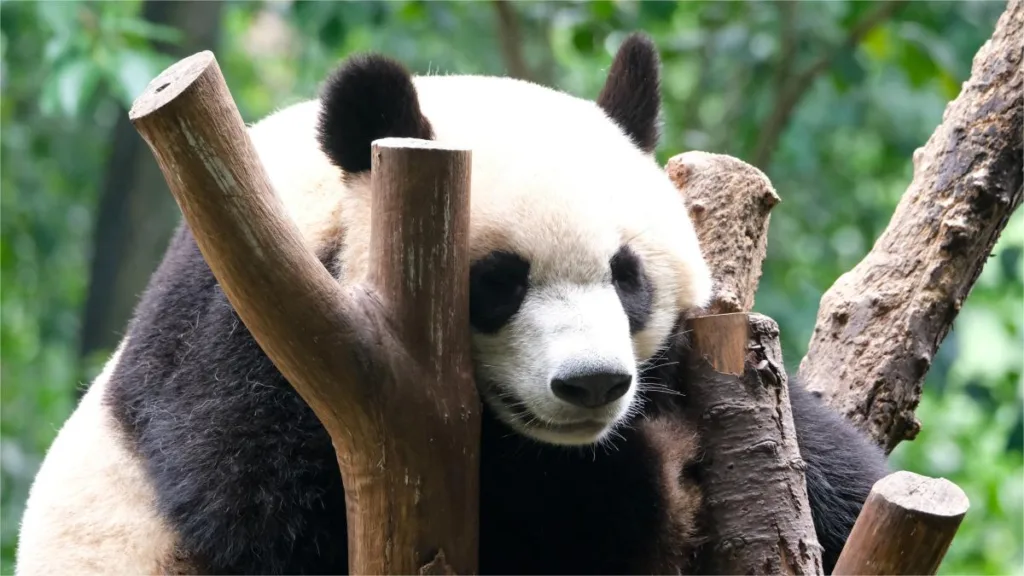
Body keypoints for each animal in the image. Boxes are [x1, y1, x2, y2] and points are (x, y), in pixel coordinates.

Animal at [15, 33, 888, 575]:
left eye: (627, 275)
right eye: (499, 282)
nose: (592, 385)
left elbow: (836, 471)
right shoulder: (250, 330)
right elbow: (269, 510)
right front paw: (637, 487)